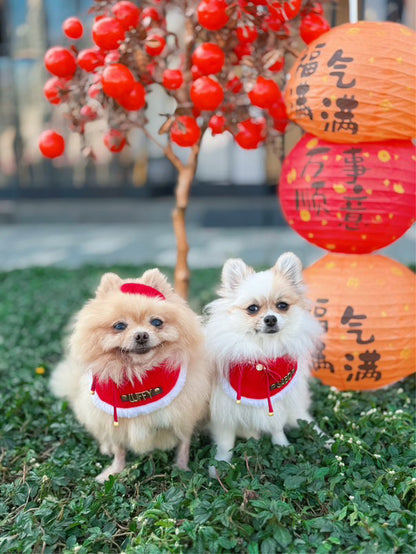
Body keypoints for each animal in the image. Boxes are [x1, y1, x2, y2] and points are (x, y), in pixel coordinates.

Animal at [50, 270, 211, 480]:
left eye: (157, 322)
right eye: (119, 326)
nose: (141, 335)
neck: (139, 373)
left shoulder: (184, 414)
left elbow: (183, 445)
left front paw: (182, 469)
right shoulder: (116, 422)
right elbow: (119, 449)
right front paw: (114, 471)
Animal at [206, 252, 324, 472]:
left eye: (282, 306)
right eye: (252, 309)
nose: (270, 319)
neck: (263, 352)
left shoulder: (278, 401)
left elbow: (276, 425)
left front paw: (282, 446)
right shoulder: (223, 408)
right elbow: (225, 441)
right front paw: (219, 464)